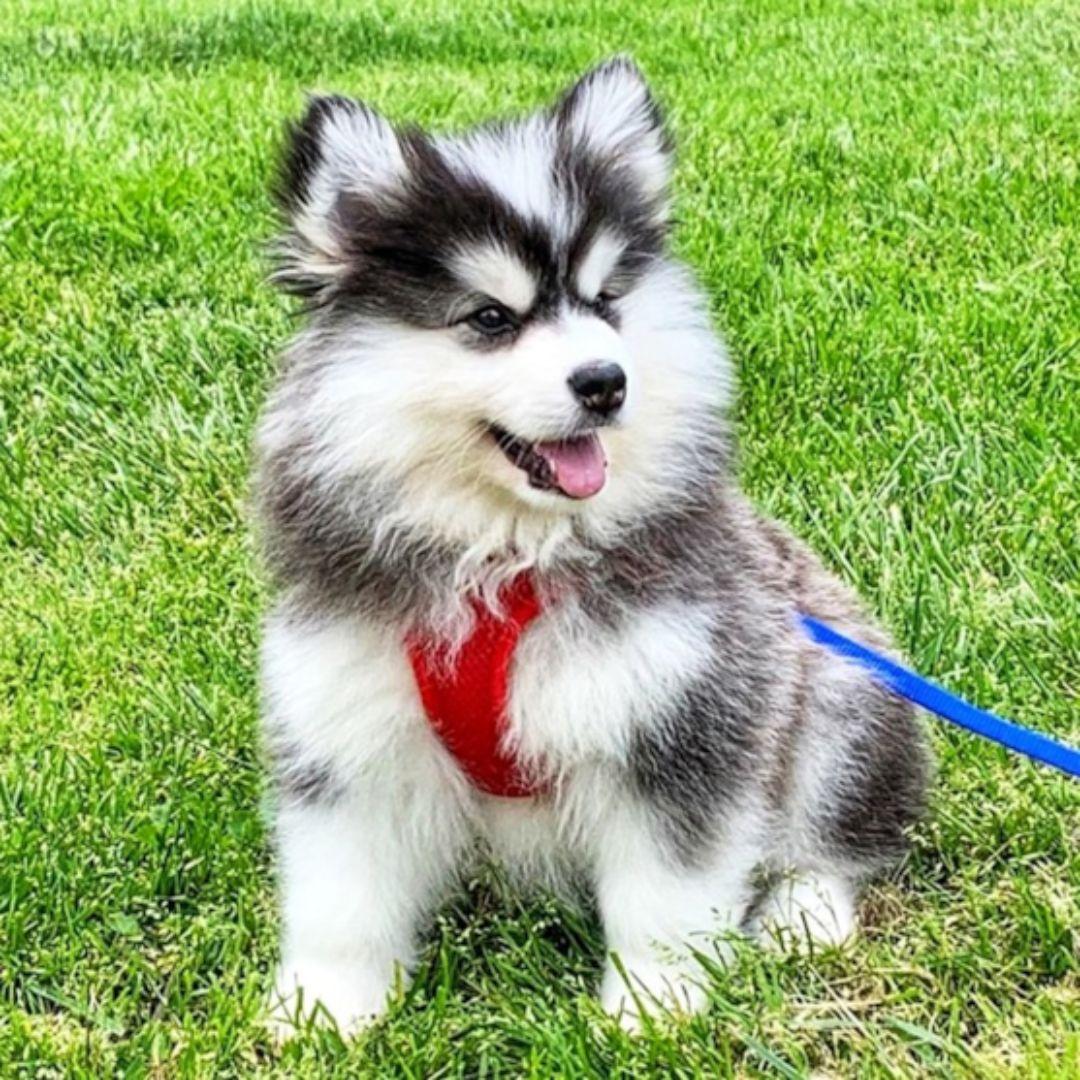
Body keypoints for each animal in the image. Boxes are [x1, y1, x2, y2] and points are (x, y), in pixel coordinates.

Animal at [252, 61, 928, 1036]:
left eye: (607, 300)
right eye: (489, 318)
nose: (606, 381)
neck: (507, 561)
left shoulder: (686, 714)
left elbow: (665, 897)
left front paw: (652, 1010)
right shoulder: (346, 725)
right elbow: (342, 898)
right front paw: (324, 1012)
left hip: (841, 695)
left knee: (836, 841)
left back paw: (802, 915)